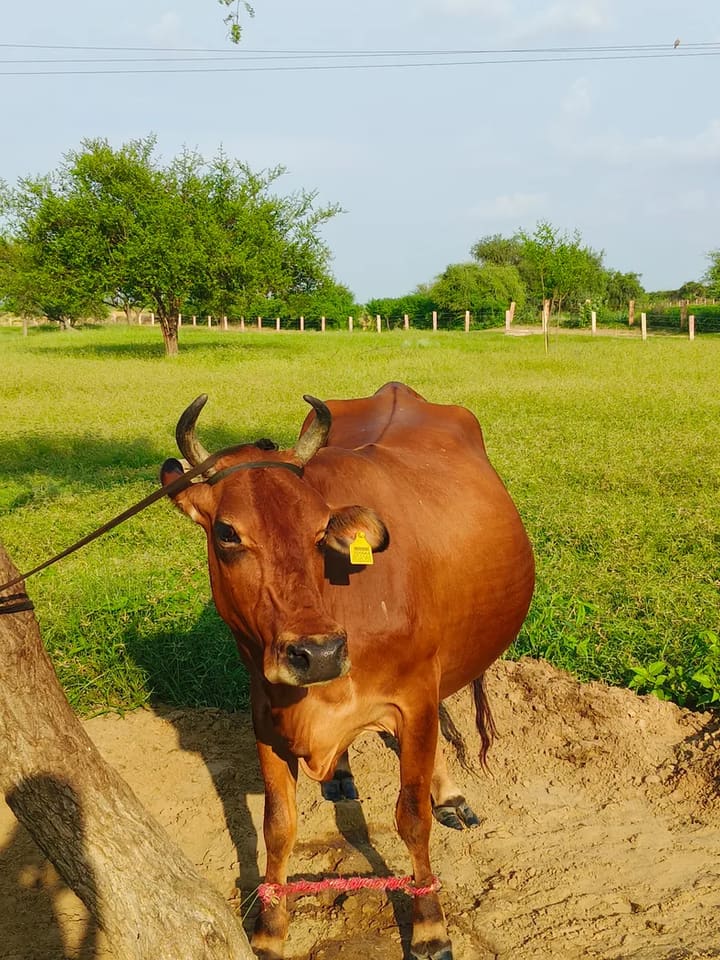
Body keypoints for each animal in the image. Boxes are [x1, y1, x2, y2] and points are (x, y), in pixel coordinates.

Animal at [160, 382, 535, 960]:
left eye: (320, 532)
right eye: (226, 532)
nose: (318, 654)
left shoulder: (414, 698)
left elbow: (411, 818)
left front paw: (430, 926)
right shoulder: (264, 708)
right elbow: (278, 825)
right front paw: (270, 929)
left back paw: (448, 794)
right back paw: (340, 773)